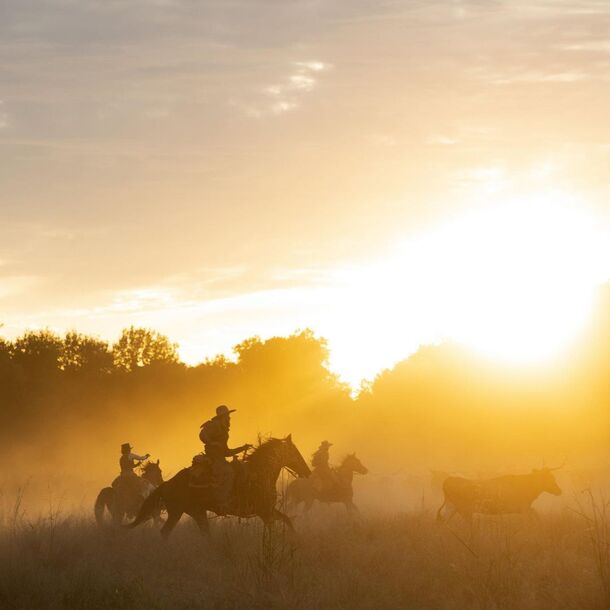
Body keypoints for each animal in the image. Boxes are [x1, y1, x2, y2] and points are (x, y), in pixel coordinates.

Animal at [126, 432, 312, 536]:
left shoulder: (268, 511)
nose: (307, 472)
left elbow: (287, 520)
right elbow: (276, 526)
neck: (259, 475)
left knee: (203, 533)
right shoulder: (264, 512)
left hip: (197, 512)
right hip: (177, 512)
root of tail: (167, 484)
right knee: (166, 532)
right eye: (295, 453)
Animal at [432, 466, 560, 516]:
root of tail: (448, 480)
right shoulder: (523, 508)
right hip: (465, 509)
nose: (559, 490)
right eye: (551, 478)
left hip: (451, 506)